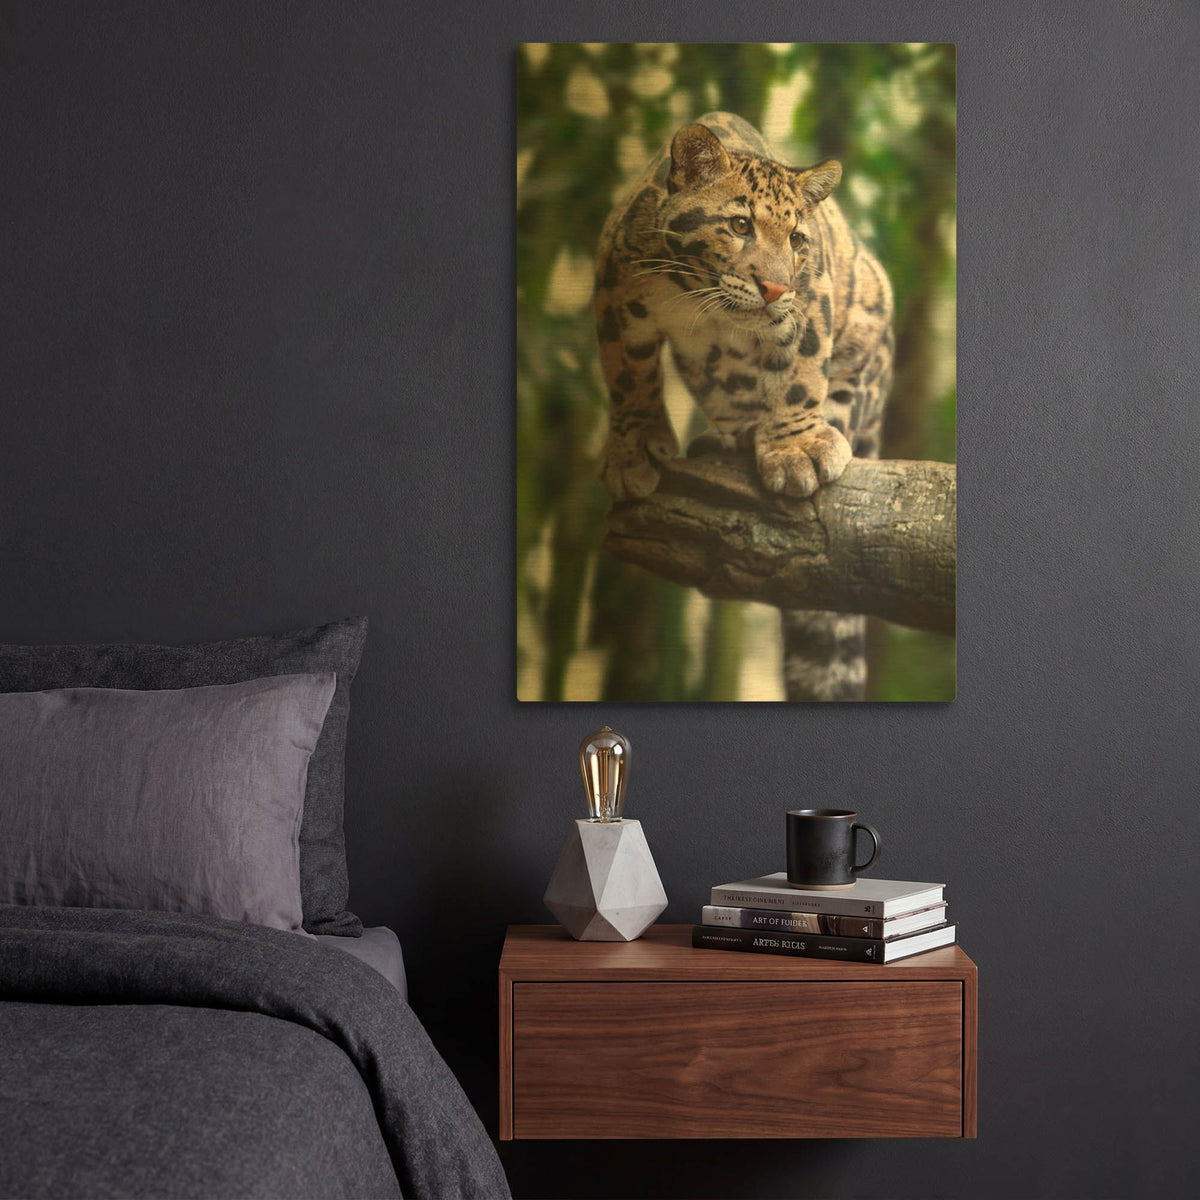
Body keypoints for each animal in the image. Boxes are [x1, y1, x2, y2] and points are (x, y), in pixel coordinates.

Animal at [593, 112, 894, 700]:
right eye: (738, 226)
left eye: (798, 239)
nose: (774, 286)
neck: (700, 300)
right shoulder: (615, 287)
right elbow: (629, 377)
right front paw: (635, 452)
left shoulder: (811, 300)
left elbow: (800, 374)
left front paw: (797, 450)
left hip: (872, 323)